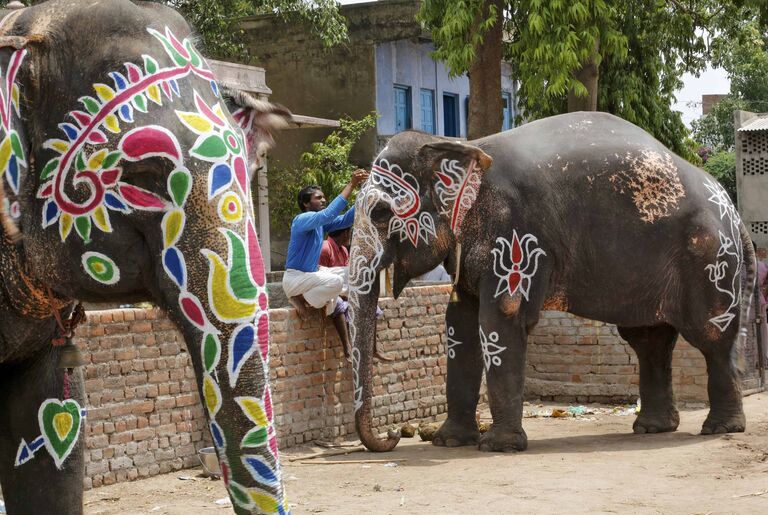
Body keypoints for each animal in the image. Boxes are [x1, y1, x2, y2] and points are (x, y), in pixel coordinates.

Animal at [350, 111, 756, 454]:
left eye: (381, 212)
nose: (393, 436)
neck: (464, 145)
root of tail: (734, 213)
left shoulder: (516, 232)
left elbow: (500, 318)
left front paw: (498, 447)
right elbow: (458, 323)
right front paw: (450, 442)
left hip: (709, 259)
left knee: (711, 335)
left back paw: (720, 429)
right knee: (649, 340)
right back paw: (653, 428)